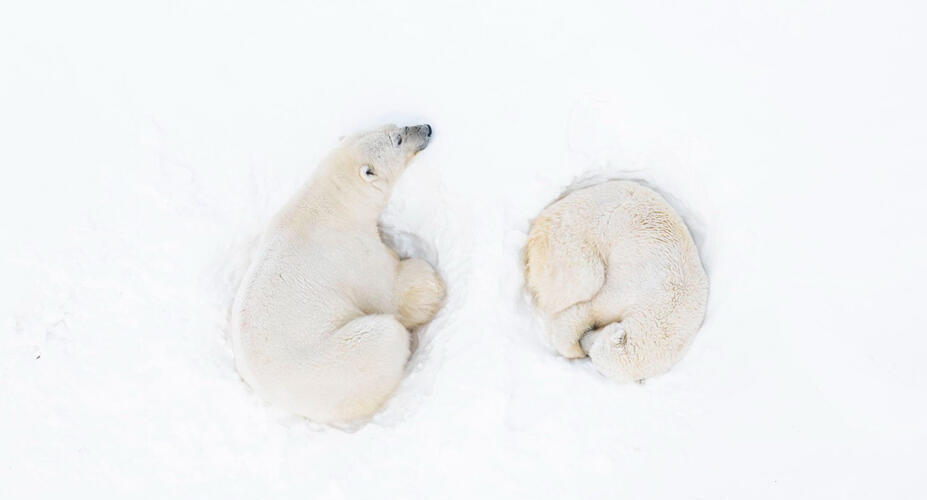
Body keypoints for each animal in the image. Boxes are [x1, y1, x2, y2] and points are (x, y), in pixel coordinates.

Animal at [234, 123, 448, 424]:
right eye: (398, 138)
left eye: (398, 126)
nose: (426, 128)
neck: (329, 203)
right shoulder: (351, 252)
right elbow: (391, 292)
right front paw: (432, 285)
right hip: (345, 358)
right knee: (386, 334)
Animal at [520, 182, 712, 380]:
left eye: (592, 349)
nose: (583, 342)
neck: (668, 307)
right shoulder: (636, 285)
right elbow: (594, 308)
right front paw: (571, 347)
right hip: (570, 238)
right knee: (585, 279)